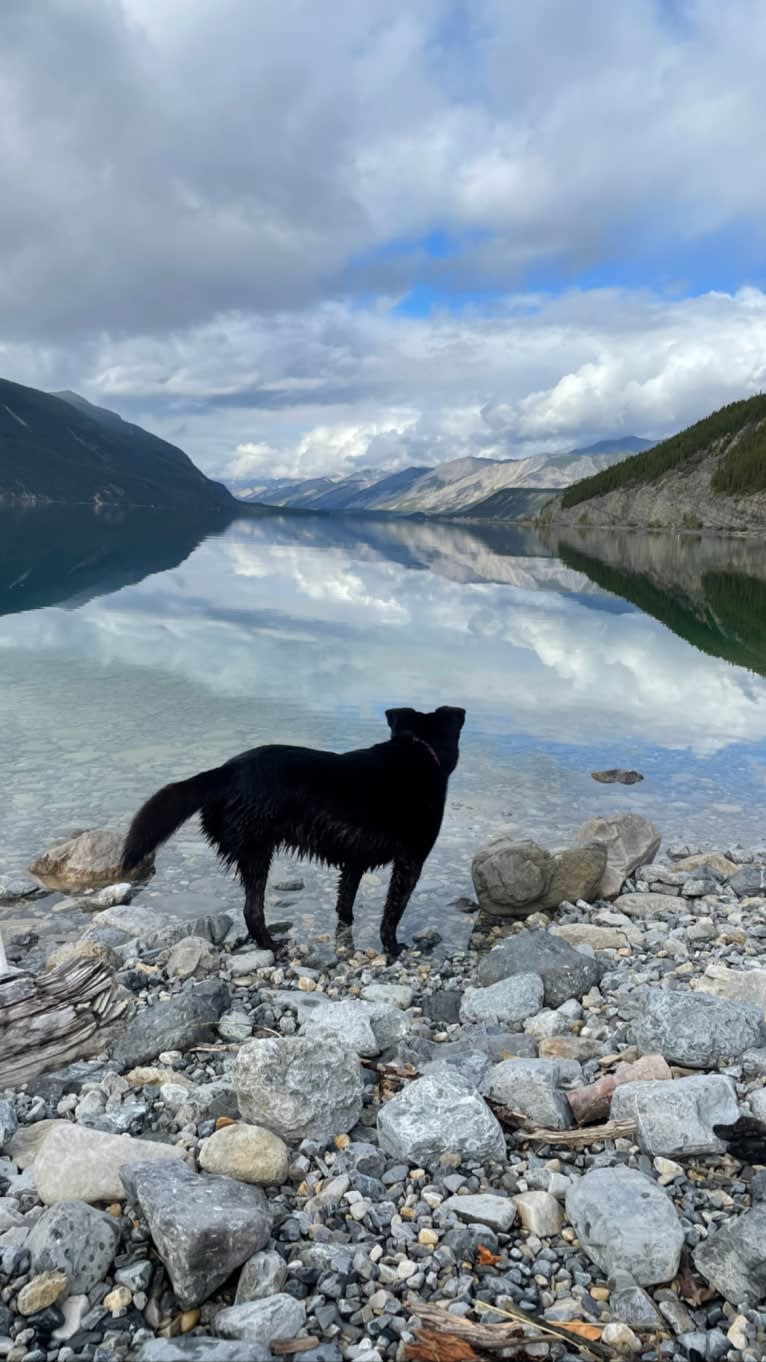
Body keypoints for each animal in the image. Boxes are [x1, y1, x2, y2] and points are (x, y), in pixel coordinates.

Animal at [121, 702, 463, 958]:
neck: (418, 749)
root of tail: (225, 772)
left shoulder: (354, 859)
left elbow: (346, 901)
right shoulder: (411, 861)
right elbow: (393, 912)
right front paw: (394, 948)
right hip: (258, 852)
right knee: (252, 910)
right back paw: (271, 945)